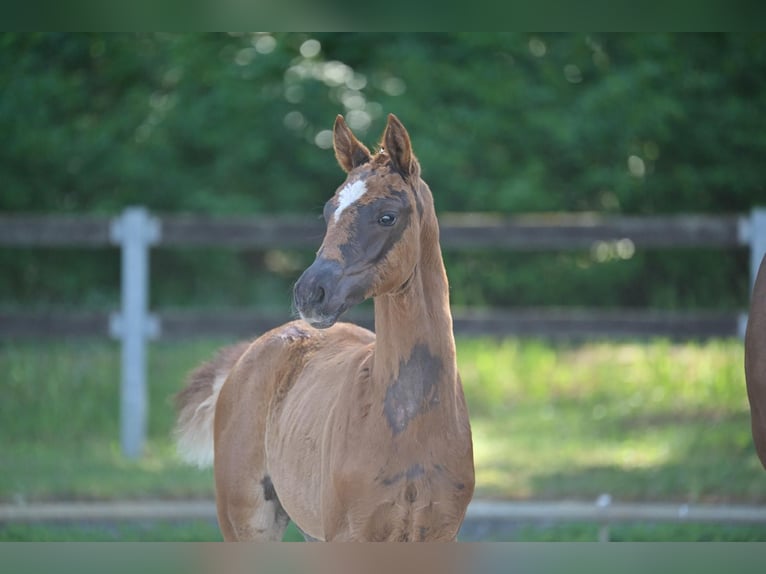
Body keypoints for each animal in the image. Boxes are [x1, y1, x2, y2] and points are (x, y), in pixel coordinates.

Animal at [174, 113, 475, 541]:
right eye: (329, 211)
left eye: (387, 215)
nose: (310, 292)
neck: (410, 426)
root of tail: (249, 353)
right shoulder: (350, 534)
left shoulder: (440, 534)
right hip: (247, 520)